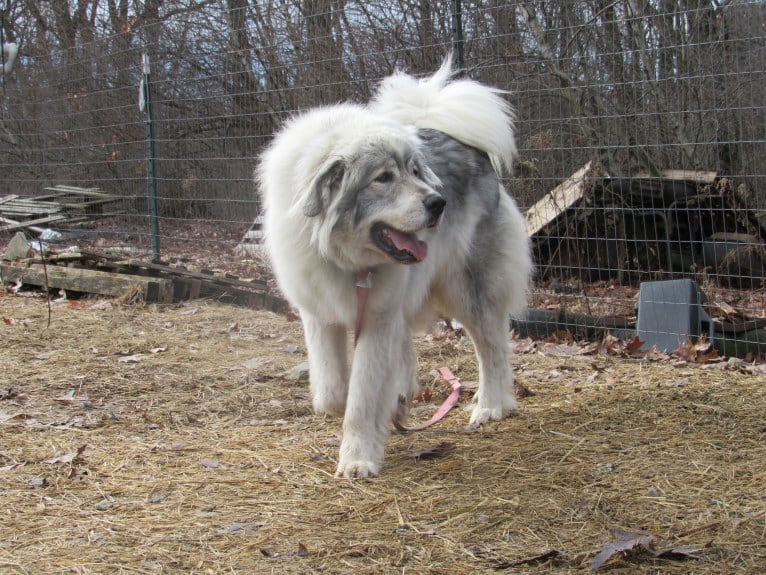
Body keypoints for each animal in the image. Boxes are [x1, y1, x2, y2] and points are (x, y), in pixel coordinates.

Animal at [258, 58, 536, 480]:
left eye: (416, 171)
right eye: (384, 178)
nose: (438, 203)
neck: (349, 261)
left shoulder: (377, 319)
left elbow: (361, 395)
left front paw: (358, 457)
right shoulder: (320, 315)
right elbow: (334, 392)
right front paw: (369, 417)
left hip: (465, 291)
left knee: (493, 349)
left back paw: (491, 405)